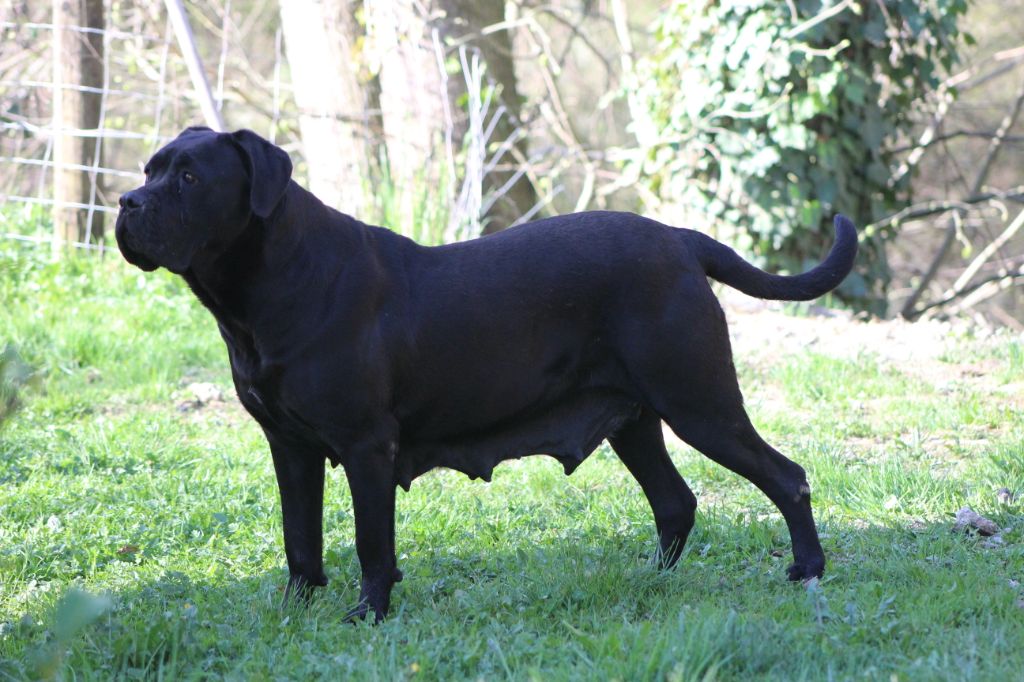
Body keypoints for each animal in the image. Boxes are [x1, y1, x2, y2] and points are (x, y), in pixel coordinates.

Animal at [116, 127, 860, 622]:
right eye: (150, 169)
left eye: (188, 178)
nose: (127, 203)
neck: (267, 286)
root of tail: (680, 239)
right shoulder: (289, 446)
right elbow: (300, 538)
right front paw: (294, 611)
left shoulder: (365, 446)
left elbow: (370, 543)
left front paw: (368, 616)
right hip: (635, 420)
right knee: (675, 502)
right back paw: (650, 581)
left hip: (699, 402)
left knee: (785, 476)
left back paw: (808, 570)